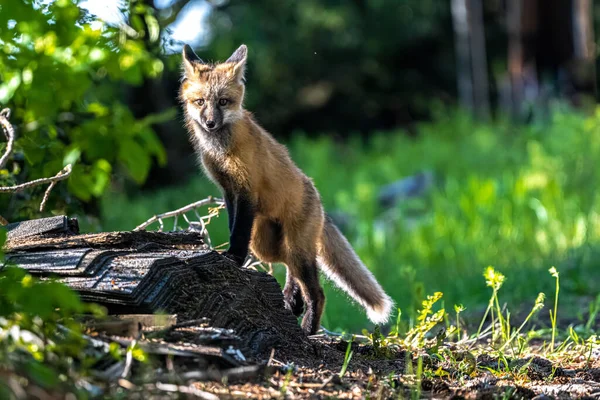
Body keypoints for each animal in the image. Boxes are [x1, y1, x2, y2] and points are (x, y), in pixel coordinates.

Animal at [178, 43, 394, 334]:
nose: (210, 122)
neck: (221, 151)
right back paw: (293, 299)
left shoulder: (247, 190)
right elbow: (233, 224)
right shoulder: (228, 190)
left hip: (294, 246)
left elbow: (238, 232)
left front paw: (234, 258)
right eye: (200, 102)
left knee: (316, 290)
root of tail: (320, 203)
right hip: (266, 245)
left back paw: (308, 327)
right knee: (291, 267)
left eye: (223, 101)